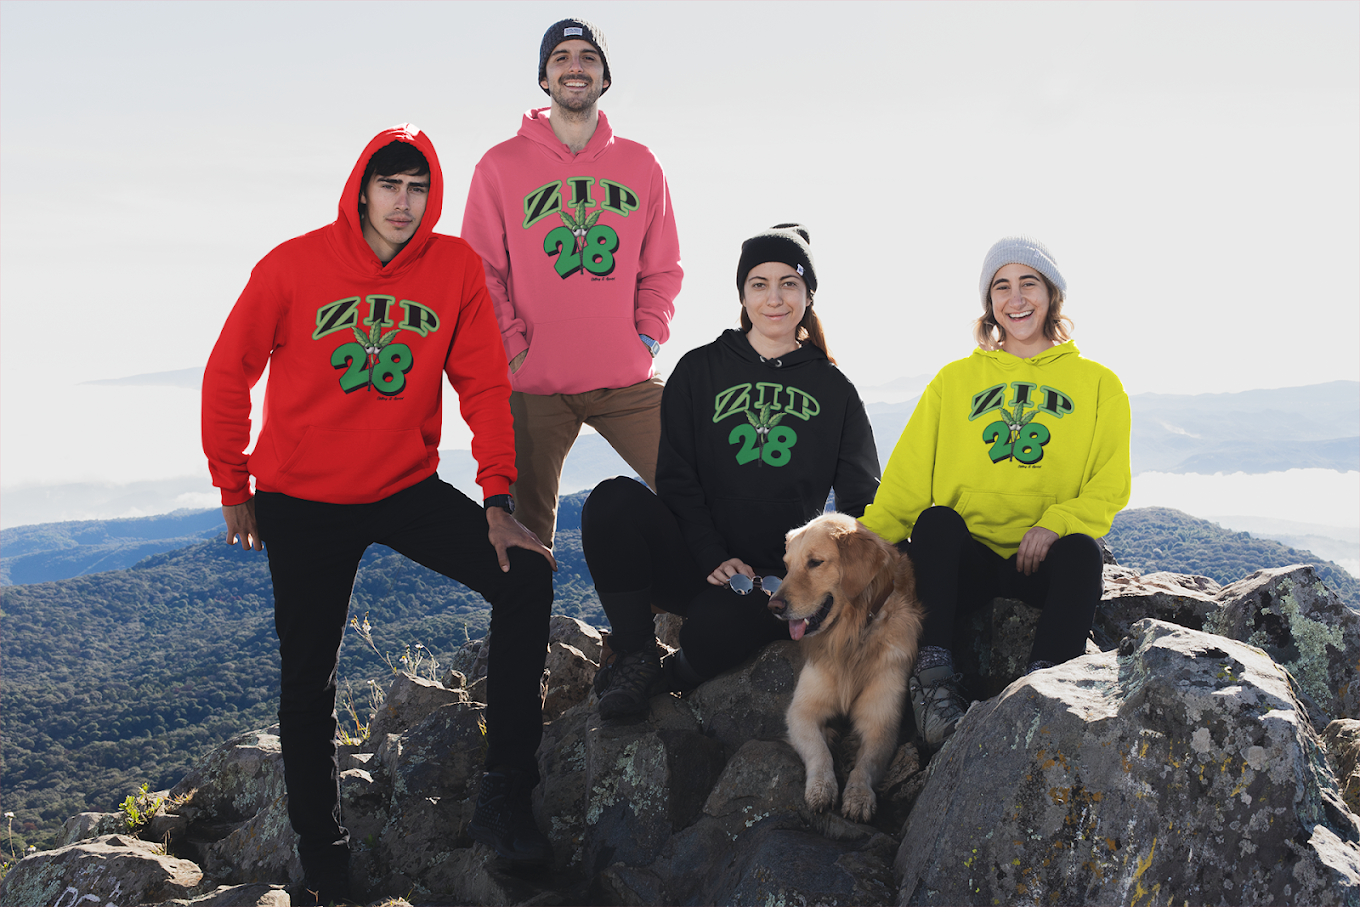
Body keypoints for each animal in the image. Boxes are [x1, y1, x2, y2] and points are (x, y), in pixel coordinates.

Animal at [767, 514, 924, 821]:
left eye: (815, 562)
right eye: (787, 566)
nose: (773, 606)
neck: (852, 634)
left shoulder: (882, 719)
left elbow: (867, 762)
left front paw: (859, 795)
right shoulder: (801, 710)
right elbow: (819, 751)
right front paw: (821, 787)